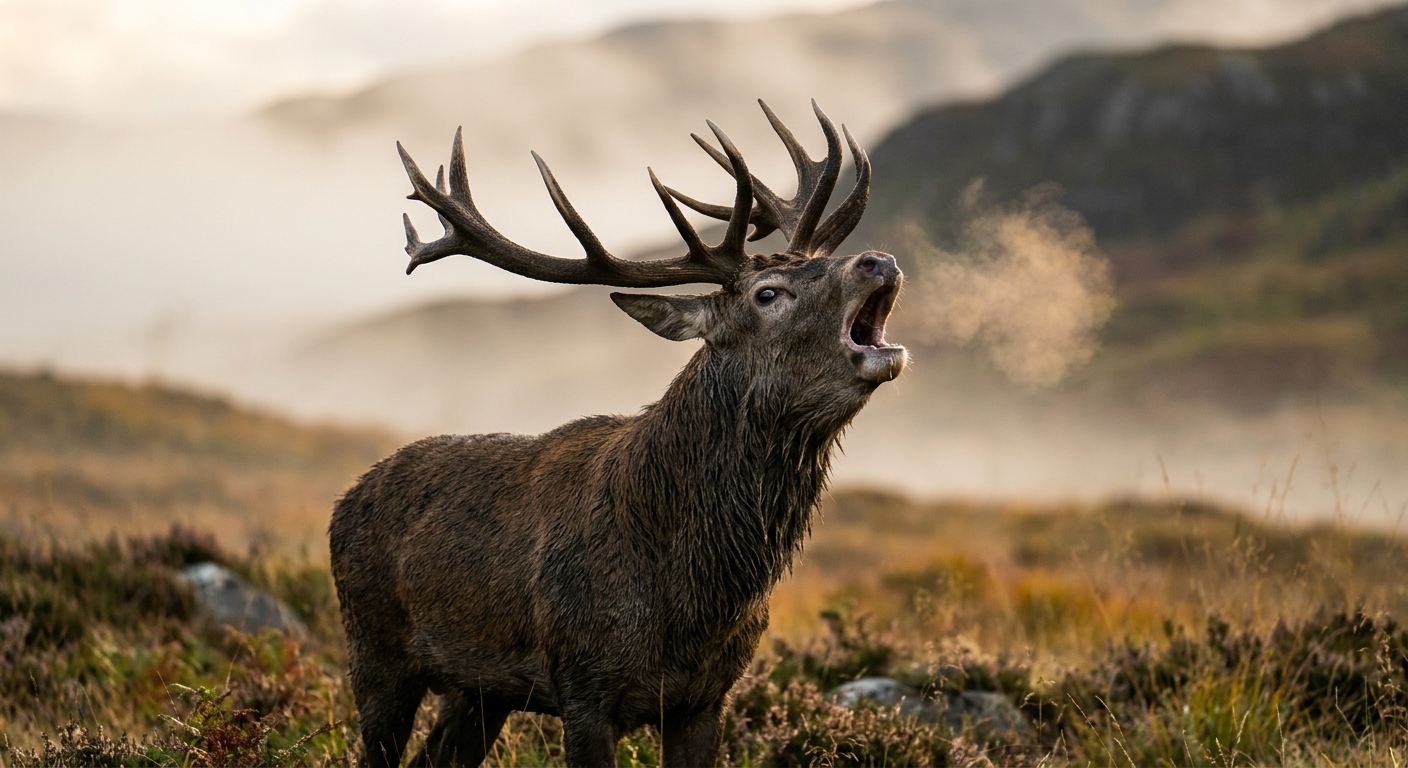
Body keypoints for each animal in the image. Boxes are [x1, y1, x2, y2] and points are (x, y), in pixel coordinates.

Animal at [328, 100, 907, 768]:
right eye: (769, 294)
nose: (878, 260)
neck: (693, 597)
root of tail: (343, 503)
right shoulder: (584, 686)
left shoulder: (706, 697)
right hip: (373, 646)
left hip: (478, 690)